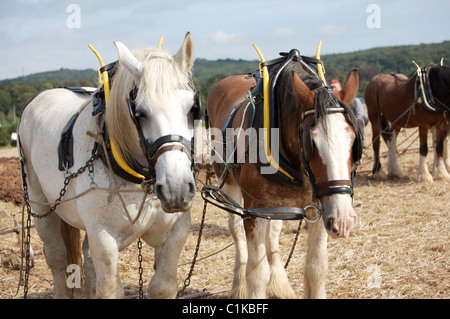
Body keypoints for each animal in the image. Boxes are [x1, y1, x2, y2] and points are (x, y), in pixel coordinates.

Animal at [17, 33, 197, 300]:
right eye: (140, 112)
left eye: (192, 109)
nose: (176, 189)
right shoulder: (102, 236)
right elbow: (110, 290)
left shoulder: (176, 230)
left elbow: (162, 286)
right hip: (42, 206)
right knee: (57, 258)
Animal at [206, 48, 360, 298]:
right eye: (311, 142)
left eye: (354, 140)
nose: (344, 221)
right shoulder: (254, 211)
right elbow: (257, 274)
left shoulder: (321, 207)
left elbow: (316, 268)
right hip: (229, 184)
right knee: (236, 230)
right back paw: (239, 286)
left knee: (274, 232)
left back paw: (279, 283)